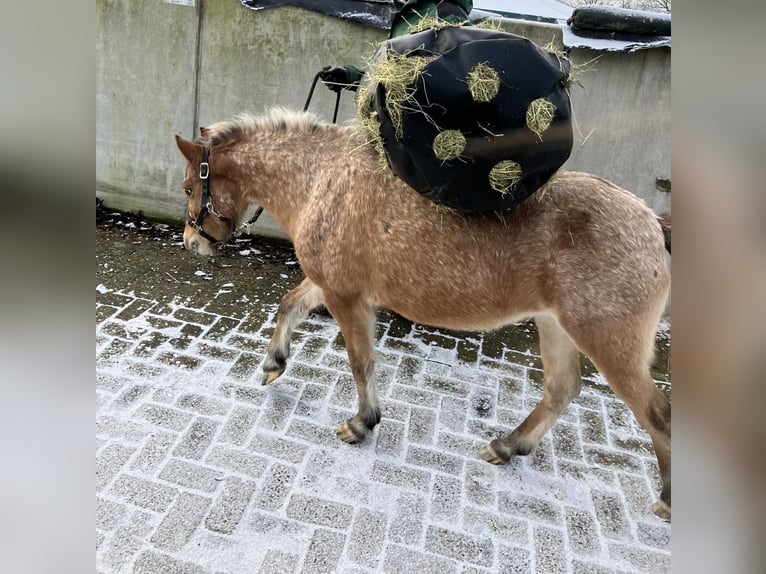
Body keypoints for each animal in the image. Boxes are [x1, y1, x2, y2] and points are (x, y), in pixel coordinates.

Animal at [173, 108, 672, 520]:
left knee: (657, 415)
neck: (324, 180)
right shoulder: (329, 283)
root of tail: (652, 224)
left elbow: (360, 362)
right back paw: (507, 446)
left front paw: (362, 423)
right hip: (555, 326)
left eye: (188, 187)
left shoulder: (345, 296)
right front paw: (273, 364)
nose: (190, 243)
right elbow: (289, 305)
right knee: (561, 390)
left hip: (608, 342)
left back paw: (666, 500)